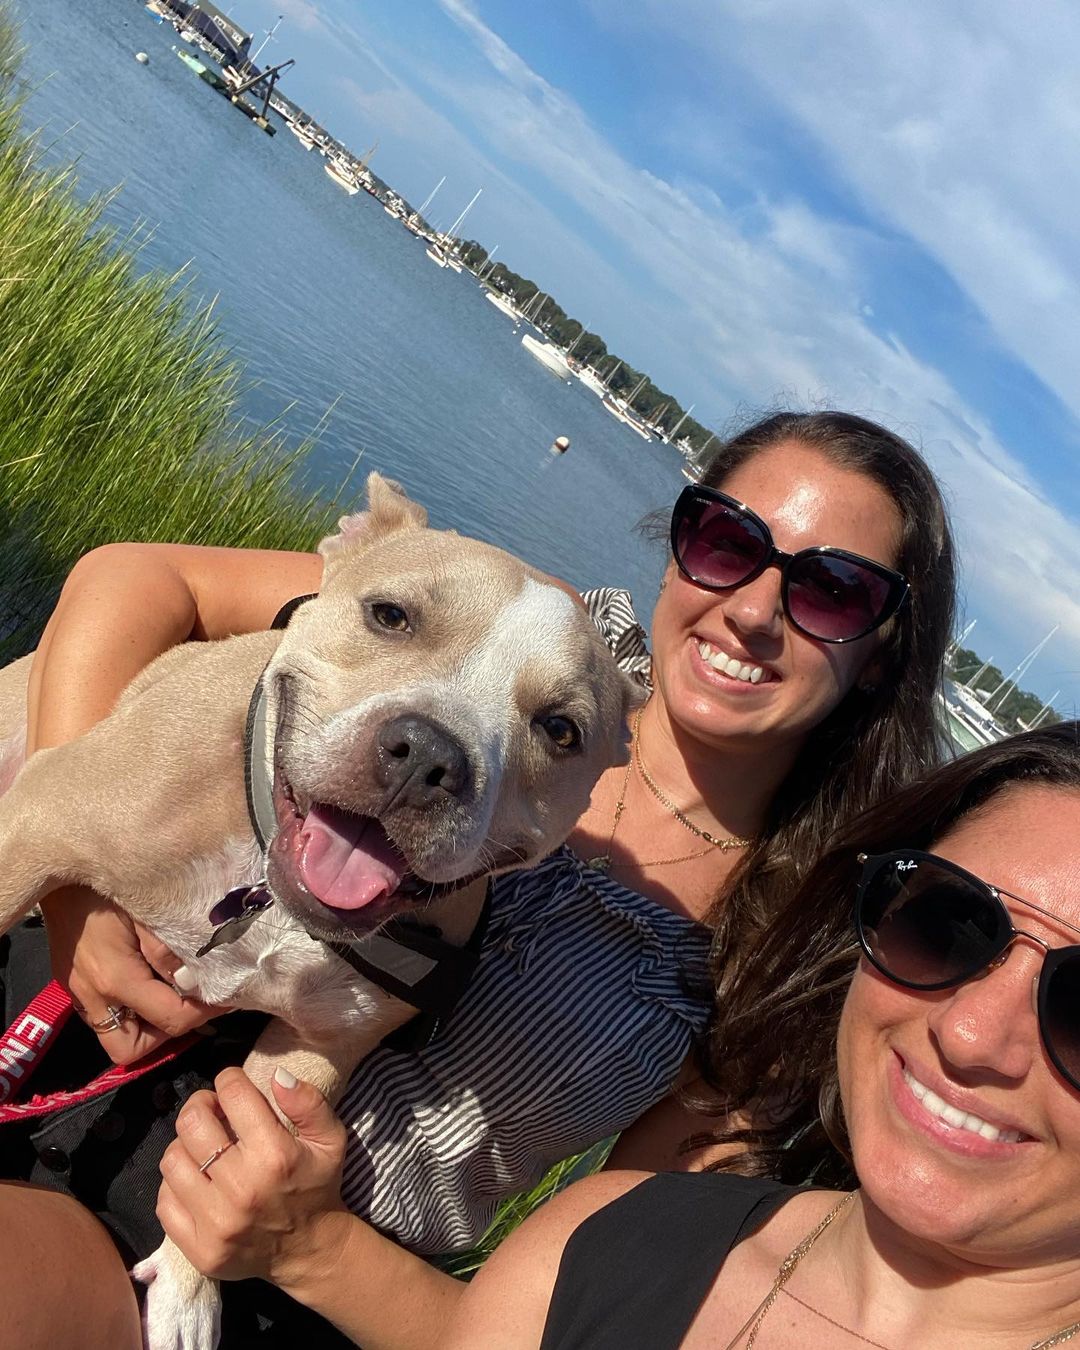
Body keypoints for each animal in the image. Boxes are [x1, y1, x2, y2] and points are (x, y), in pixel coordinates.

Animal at [0, 469, 642, 1344]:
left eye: (561, 729)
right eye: (390, 615)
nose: (428, 754)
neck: (266, 894)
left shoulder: (312, 1049)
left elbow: (234, 1150)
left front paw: (189, 1290)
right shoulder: (34, 828)